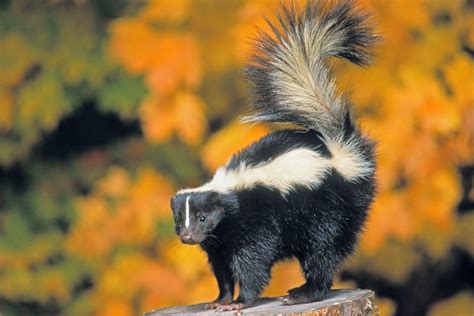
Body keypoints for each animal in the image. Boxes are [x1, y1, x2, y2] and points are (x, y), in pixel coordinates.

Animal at [170, 0, 378, 312]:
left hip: (329, 208)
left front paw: (239, 302)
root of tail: (339, 148)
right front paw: (220, 299)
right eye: (179, 220)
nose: (187, 237)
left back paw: (305, 292)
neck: (229, 200)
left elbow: (252, 263)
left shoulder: (254, 225)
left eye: (202, 217)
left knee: (323, 251)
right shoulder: (219, 242)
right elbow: (222, 270)